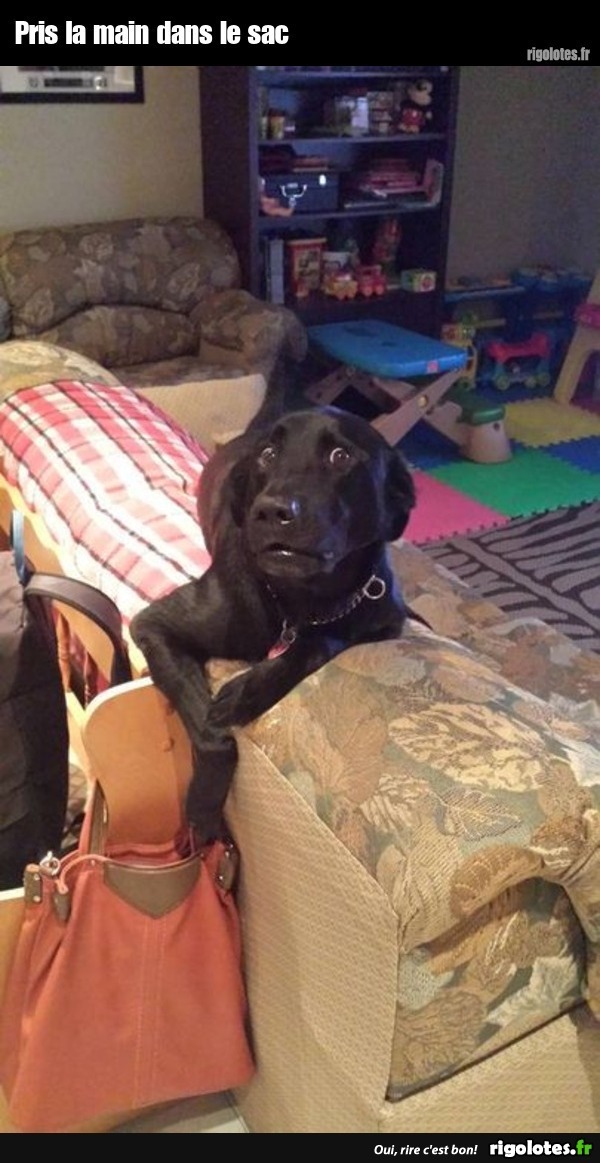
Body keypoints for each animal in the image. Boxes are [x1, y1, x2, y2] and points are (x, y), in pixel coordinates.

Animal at [130, 405, 417, 842]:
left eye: (340, 456)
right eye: (268, 455)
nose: (270, 510)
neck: (297, 602)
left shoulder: (384, 622)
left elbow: (322, 642)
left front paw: (247, 690)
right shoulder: (155, 625)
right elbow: (213, 735)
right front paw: (202, 807)